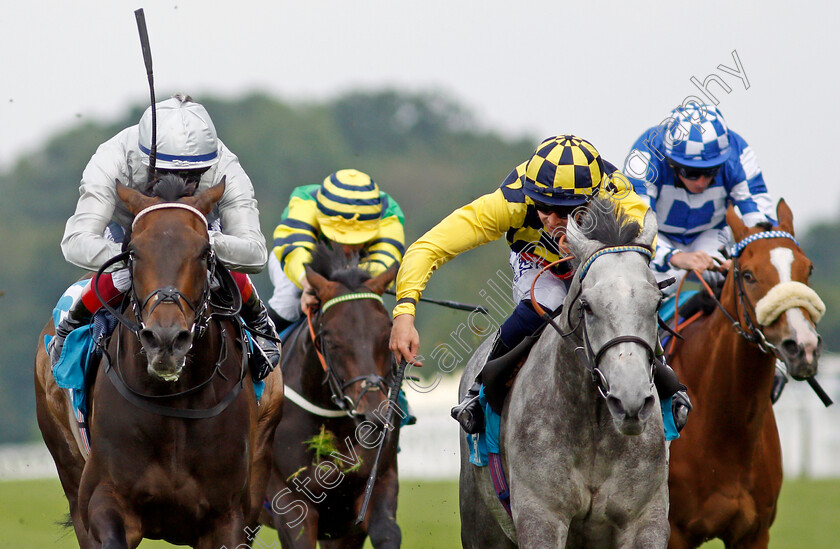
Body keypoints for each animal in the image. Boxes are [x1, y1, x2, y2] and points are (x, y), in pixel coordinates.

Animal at [34, 177, 284, 548]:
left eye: (204, 253)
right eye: (134, 252)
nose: (166, 340)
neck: (175, 403)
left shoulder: (228, 517)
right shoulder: (103, 499)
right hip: (68, 467)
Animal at [260, 244, 406, 548]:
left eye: (386, 332)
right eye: (331, 339)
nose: (373, 415)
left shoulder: (374, 487)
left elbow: (387, 532)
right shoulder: (291, 501)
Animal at [460, 202, 668, 548]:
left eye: (656, 304)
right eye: (587, 306)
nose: (631, 400)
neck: (594, 427)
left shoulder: (645, 520)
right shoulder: (540, 518)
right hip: (481, 524)